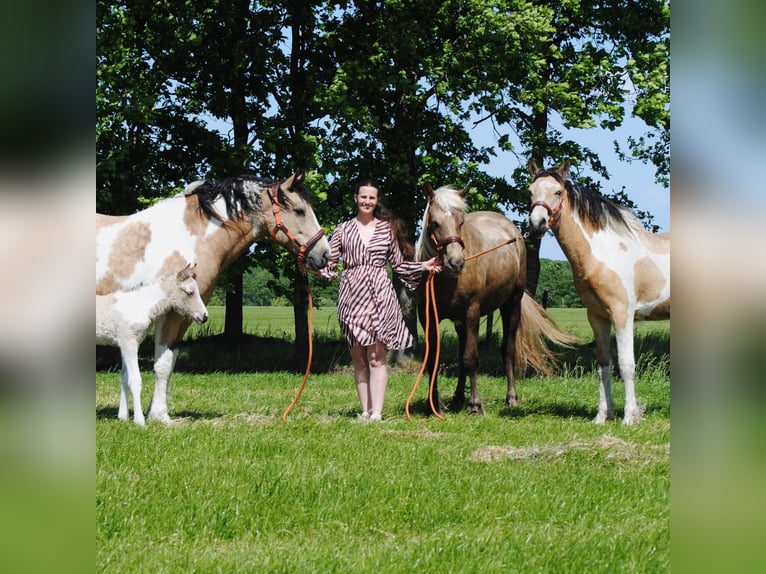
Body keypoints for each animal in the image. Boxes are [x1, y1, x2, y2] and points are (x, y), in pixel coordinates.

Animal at [96, 263, 208, 425]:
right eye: (190, 292)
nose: (204, 316)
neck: (139, 305)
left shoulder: (126, 344)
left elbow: (124, 378)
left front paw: (123, 418)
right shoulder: (129, 343)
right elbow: (135, 380)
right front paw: (139, 421)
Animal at [416, 184, 579, 415]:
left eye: (461, 222)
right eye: (435, 222)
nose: (456, 262)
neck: (445, 279)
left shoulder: (472, 313)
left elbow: (471, 359)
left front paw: (476, 405)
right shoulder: (428, 317)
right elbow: (433, 361)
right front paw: (434, 406)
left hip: (511, 305)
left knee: (507, 351)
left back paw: (511, 397)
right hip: (461, 322)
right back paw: (458, 397)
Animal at [528, 159, 670, 425]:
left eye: (558, 192)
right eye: (530, 192)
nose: (537, 224)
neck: (604, 253)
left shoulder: (622, 314)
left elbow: (626, 365)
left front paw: (629, 417)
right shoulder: (597, 317)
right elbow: (603, 365)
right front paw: (602, 416)